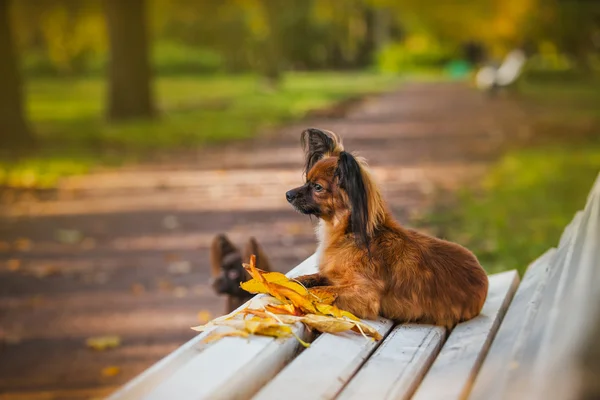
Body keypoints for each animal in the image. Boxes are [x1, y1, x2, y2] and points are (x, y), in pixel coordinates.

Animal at [286, 129, 488, 328]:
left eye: (317, 187)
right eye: (306, 181)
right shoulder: (333, 276)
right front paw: (293, 281)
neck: (348, 234)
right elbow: (308, 280)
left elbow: (319, 290)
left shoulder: (363, 294)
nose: (288, 194)